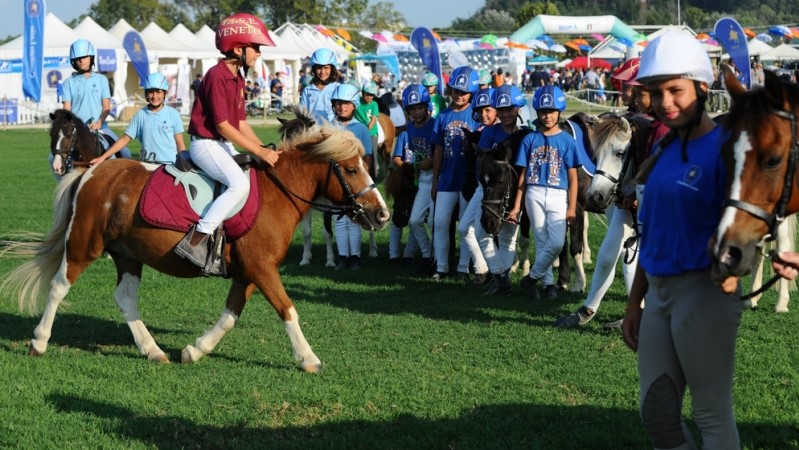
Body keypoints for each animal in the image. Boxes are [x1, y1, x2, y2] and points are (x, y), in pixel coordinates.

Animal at [1, 125, 390, 372]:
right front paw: (308, 358)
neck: (277, 193)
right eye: (351, 170)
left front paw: (194, 350)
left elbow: (230, 316)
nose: (382, 214)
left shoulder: (249, 273)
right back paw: (39, 342)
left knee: (125, 298)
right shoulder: (262, 269)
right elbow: (287, 309)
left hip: (128, 254)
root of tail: (92, 171)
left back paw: (153, 351)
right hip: (85, 244)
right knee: (59, 286)